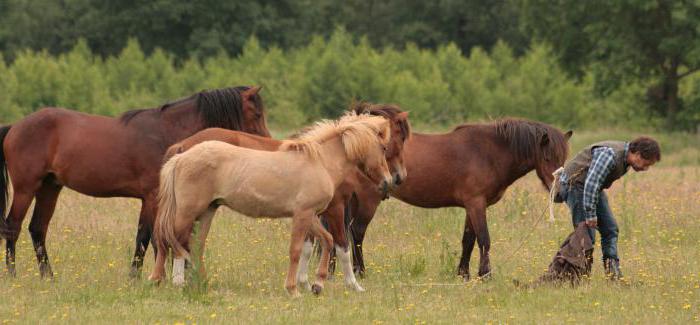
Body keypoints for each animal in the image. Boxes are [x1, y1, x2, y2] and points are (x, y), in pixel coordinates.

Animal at [0, 85, 270, 276]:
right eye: (257, 113)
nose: (267, 143)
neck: (166, 133)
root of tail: (15, 126)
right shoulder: (151, 197)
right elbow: (146, 237)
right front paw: (138, 277)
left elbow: (159, 237)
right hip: (26, 188)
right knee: (12, 226)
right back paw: (13, 275)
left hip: (50, 188)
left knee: (37, 229)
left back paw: (49, 277)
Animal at [159, 102, 410, 290]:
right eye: (386, 146)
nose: (391, 180)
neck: (320, 162)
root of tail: (181, 155)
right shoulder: (326, 210)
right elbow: (333, 246)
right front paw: (351, 285)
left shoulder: (311, 214)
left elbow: (320, 244)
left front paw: (313, 284)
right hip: (188, 212)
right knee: (175, 240)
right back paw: (177, 282)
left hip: (207, 211)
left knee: (194, 245)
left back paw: (199, 282)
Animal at [348, 117, 572, 278]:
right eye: (547, 157)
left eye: (564, 158)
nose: (559, 193)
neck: (489, 153)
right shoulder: (476, 204)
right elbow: (484, 239)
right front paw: (485, 275)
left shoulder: (472, 207)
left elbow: (468, 240)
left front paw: (463, 274)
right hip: (368, 201)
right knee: (357, 232)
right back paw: (361, 272)